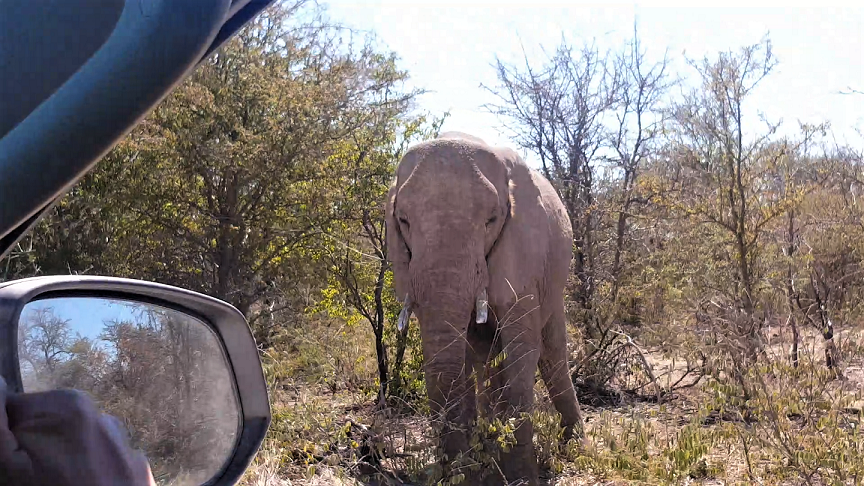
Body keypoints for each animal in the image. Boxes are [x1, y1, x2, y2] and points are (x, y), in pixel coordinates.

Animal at [386, 131, 584, 484]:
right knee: (487, 358)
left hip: (555, 278)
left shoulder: (523, 251)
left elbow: (522, 349)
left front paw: (520, 478)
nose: (453, 472)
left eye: (491, 220)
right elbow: (458, 355)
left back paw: (575, 447)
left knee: (551, 353)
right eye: (403, 221)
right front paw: (472, 471)